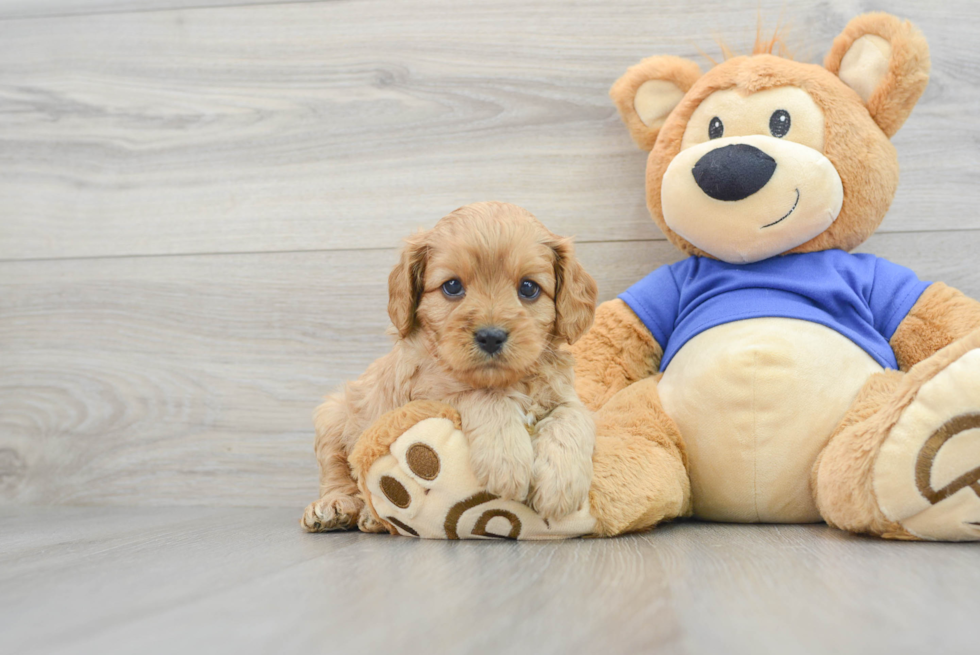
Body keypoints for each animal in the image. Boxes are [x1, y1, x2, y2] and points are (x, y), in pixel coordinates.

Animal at [302, 201, 600, 532]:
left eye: (528, 288)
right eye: (453, 286)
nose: (491, 336)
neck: (506, 380)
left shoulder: (565, 396)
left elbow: (572, 418)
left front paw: (560, 485)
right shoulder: (426, 395)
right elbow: (484, 396)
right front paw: (507, 462)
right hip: (333, 415)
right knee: (337, 474)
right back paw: (338, 508)